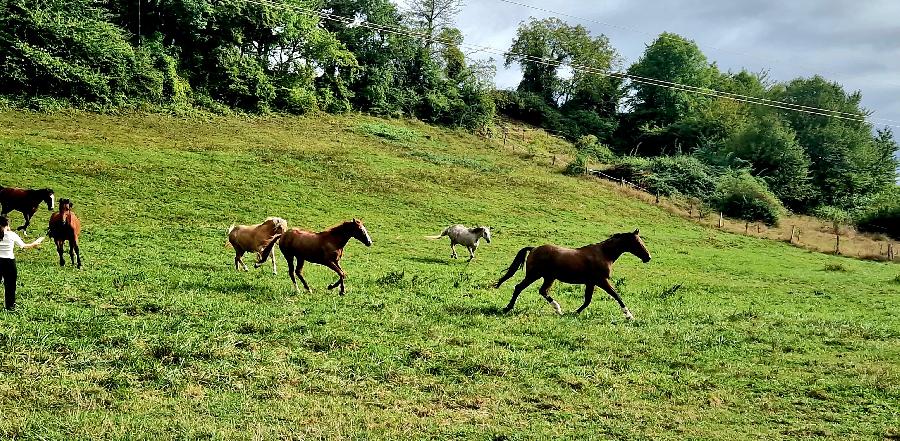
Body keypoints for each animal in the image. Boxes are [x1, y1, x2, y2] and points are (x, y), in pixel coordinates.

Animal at [496, 229, 652, 318]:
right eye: (638, 243)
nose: (648, 257)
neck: (604, 254)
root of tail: (534, 248)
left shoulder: (591, 283)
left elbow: (587, 301)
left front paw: (574, 312)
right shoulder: (601, 281)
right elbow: (616, 295)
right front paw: (629, 315)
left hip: (549, 277)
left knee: (543, 291)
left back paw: (559, 310)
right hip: (534, 275)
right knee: (519, 287)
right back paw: (508, 308)